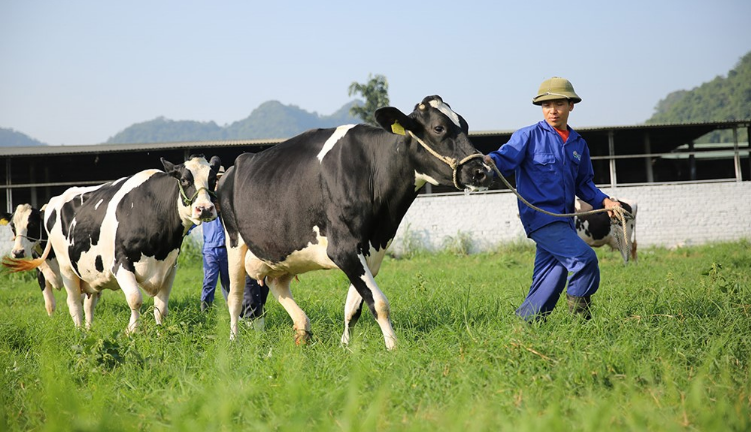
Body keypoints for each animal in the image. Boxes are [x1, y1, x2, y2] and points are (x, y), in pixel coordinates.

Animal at [3, 155, 220, 330]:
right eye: (184, 180)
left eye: (212, 180)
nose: (205, 208)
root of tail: (54, 201)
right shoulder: (121, 262)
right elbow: (135, 299)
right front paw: (132, 331)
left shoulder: (169, 267)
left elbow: (161, 306)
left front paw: (160, 332)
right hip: (67, 269)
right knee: (73, 303)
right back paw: (80, 332)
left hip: (91, 273)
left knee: (88, 304)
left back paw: (89, 330)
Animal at [219, 96, 494, 350]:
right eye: (439, 128)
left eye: (465, 125)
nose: (482, 171)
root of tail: (234, 166)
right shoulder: (343, 249)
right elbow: (379, 303)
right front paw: (393, 348)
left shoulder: (372, 250)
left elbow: (354, 307)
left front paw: (345, 346)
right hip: (233, 240)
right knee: (234, 298)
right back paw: (233, 342)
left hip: (282, 252)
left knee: (277, 284)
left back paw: (302, 330)